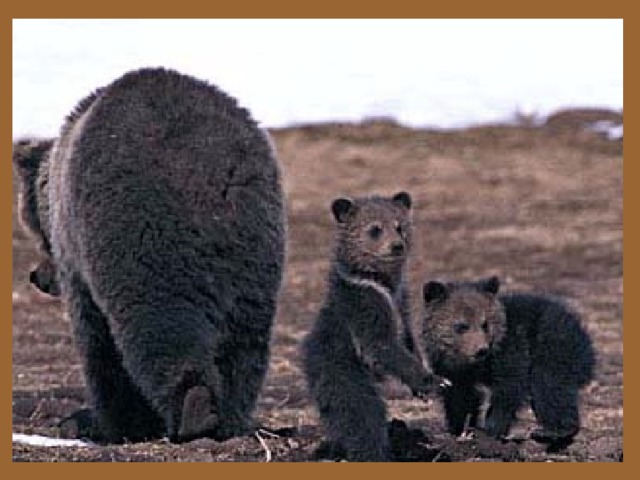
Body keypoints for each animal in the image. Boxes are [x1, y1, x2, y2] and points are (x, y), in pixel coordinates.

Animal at [11, 67, 288, 442]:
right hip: (254, 250)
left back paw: (192, 410)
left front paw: (109, 422)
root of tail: (212, 172)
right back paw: (229, 417)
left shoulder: (78, 255)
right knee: (244, 340)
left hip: (140, 232)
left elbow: (96, 343)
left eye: (35, 228)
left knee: (158, 324)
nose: (36, 276)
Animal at [420, 276, 596, 452]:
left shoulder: (511, 351)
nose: (481, 350)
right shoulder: (450, 371)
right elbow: (459, 396)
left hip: (553, 346)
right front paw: (458, 429)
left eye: (485, 324)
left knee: (548, 384)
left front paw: (490, 431)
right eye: (461, 326)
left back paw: (552, 432)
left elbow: (508, 389)